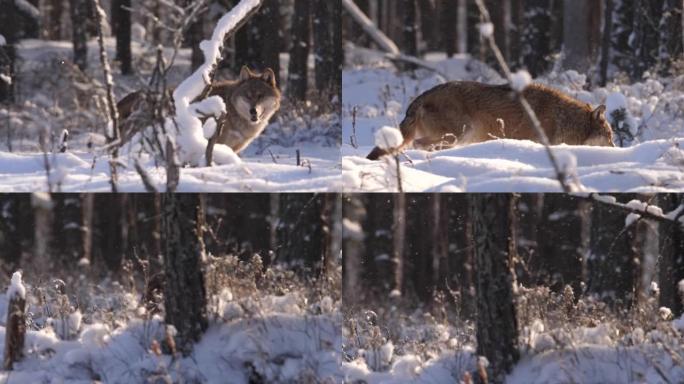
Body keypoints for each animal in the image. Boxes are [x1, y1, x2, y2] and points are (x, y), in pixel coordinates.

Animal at [366, 80, 616, 160]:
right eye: (609, 136)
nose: (616, 148)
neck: (563, 119)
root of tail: (419, 98)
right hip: (459, 132)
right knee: (420, 145)